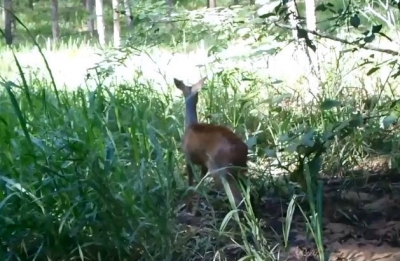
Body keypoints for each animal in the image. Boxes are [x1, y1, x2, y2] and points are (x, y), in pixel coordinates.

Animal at [175, 76, 250, 212]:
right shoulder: (203, 164)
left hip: (221, 169)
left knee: (237, 198)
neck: (190, 126)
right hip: (240, 169)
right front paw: (195, 210)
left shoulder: (188, 158)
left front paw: (189, 208)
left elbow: (190, 184)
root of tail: (242, 149)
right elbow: (201, 186)